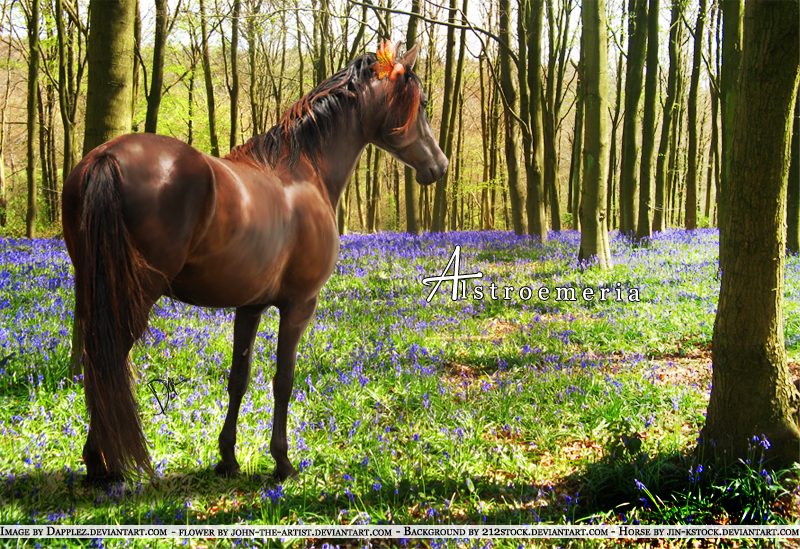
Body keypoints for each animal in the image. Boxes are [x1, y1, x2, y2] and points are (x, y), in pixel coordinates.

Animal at [61, 41, 450, 480]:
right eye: (421, 104)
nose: (439, 165)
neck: (304, 172)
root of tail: (106, 157)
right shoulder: (298, 305)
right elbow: (284, 379)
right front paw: (282, 461)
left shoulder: (249, 306)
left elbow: (239, 378)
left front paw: (227, 457)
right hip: (134, 296)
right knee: (106, 362)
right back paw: (102, 462)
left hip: (93, 290)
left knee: (94, 362)